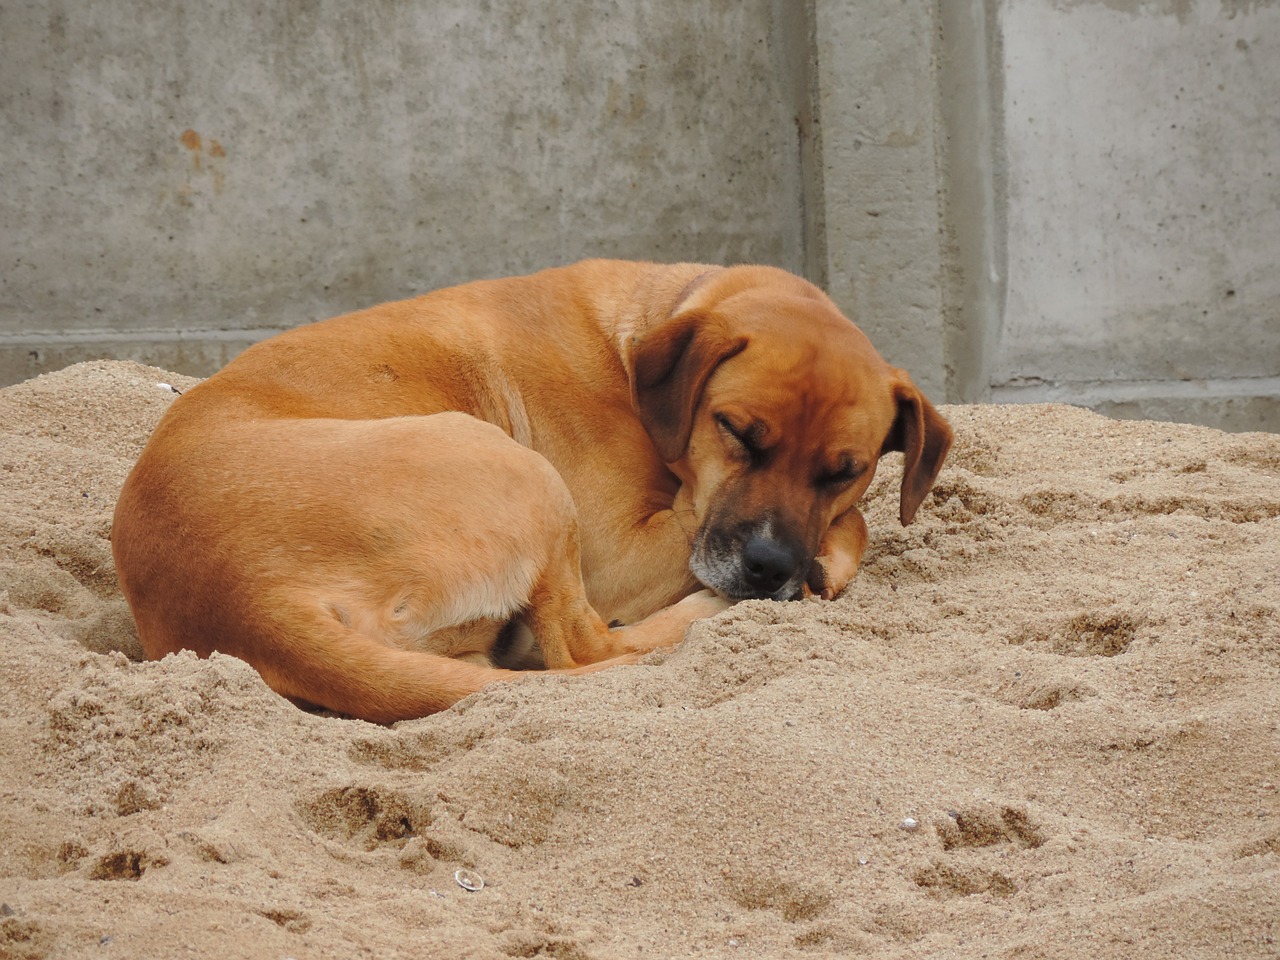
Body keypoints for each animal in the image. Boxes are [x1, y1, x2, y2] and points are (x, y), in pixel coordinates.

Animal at [112, 259, 952, 727]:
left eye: (842, 469)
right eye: (738, 432)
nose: (771, 566)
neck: (644, 329)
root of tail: (246, 602)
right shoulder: (626, 550)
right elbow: (858, 528)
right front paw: (826, 561)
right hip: (526, 479)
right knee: (587, 649)